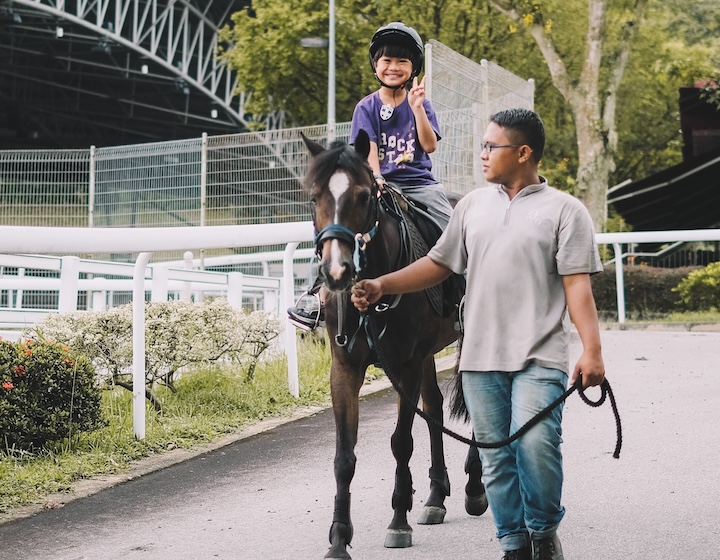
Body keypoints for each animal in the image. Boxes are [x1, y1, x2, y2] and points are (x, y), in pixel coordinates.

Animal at [300, 132, 486, 560]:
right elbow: (344, 456)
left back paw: (474, 488)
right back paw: (436, 497)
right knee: (434, 409)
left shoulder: (405, 366)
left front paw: (398, 521)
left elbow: (401, 442)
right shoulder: (345, 368)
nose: (336, 270)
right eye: (314, 196)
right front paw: (339, 538)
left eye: (363, 196)